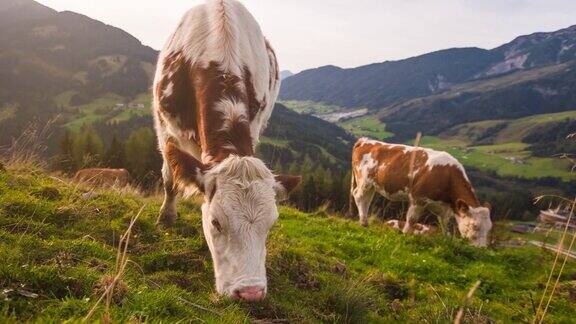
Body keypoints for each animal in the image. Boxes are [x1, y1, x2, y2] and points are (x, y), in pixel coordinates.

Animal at [152, 0, 302, 302]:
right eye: (215, 222)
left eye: (271, 225)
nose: (251, 292)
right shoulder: (165, 126)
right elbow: (170, 178)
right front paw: (166, 219)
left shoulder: (255, 124)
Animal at [348, 138, 492, 247]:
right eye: (475, 226)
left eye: (489, 228)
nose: (481, 249)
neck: (448, 176)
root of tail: (365, 140)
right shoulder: (418, 198)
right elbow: (411, 220)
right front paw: (405, 235)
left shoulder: (444, 208)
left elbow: (444, 223)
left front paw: (446, 240)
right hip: (364, 180)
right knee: (359, 196)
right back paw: (363, 222)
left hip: (372, 185)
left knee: (366, 200)